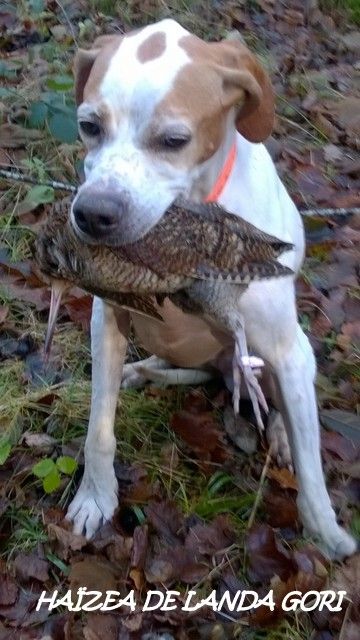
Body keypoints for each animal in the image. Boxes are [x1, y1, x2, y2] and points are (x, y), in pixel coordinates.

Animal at [66, 17, 356, 556]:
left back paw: (279, 432)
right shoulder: (106, 320)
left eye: (174, 139)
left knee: (286, 408)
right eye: (89, 126)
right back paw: (143, 371)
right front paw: (95, 498)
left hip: (283, 359)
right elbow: (99, 430)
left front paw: (327, 537)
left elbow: (312, 472)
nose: (92, 215)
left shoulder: (286, 350)